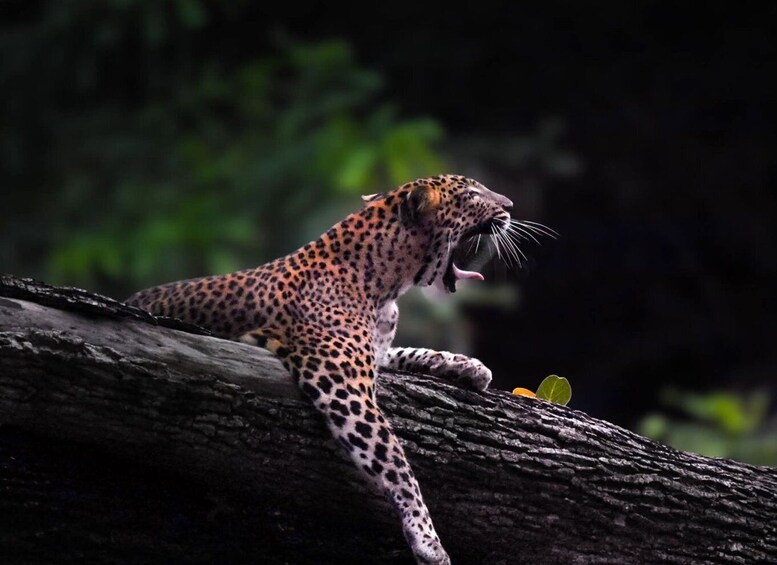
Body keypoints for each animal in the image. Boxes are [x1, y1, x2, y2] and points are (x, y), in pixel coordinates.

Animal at [126, 174, 530, 564]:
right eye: (472, 194)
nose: (511, 205)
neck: (386, 287)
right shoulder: (344, 386)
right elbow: (395, 461)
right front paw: (426, 537)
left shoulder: (376, 352)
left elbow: (411, 351)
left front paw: (470, 367)